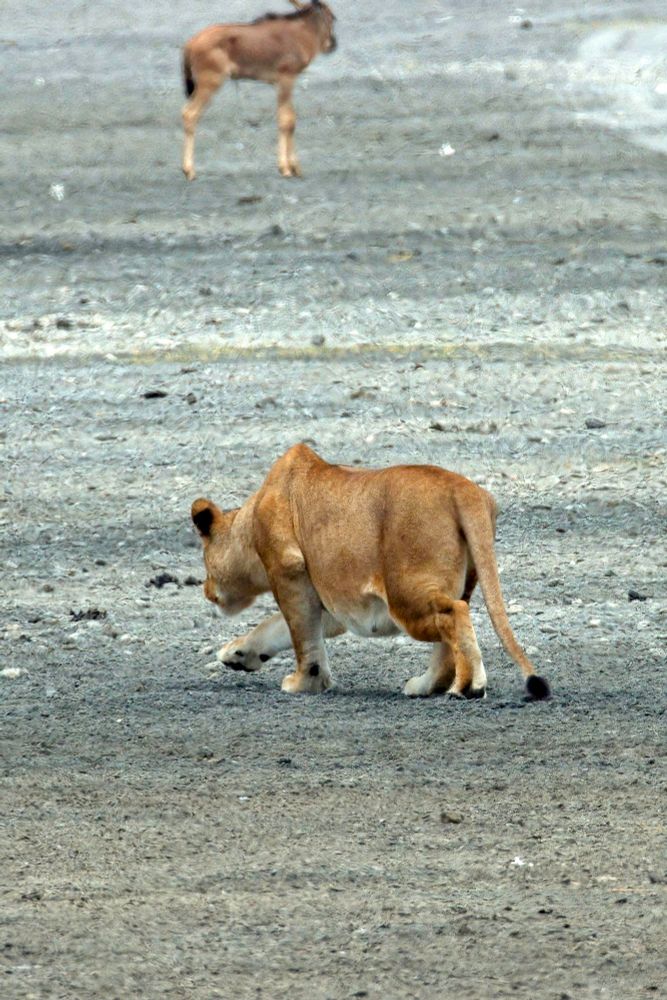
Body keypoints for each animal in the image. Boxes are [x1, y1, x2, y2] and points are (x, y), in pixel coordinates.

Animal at [191, 444, 550, 700]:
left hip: (405, 594)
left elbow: (300, 633)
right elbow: (275, 626)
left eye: (205, 562)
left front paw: (304, 682)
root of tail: (464, 490)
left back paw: (467, 687)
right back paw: (426, 686)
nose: (205, 590)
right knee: (449, 637)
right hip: (459, 582)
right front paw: (237, 653)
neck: (249, 522)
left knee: (454, 615)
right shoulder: (330, 602)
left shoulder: (289, 571)